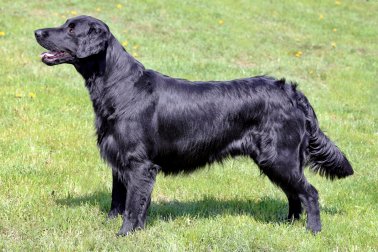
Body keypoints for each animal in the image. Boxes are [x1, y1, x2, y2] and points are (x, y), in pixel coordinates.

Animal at [34, 15, 352, 235]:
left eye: (72, 29)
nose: (37, 32)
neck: (119, 86)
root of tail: (291, 91)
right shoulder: (120, 161)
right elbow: (118, 200)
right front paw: (114, 226)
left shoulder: (139, 164)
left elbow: (132, 206)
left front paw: (124, 234)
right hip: (276, 161)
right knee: (294, 194)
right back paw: (287, 225)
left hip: (279, 157)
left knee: (309, 193)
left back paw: (312, 230)